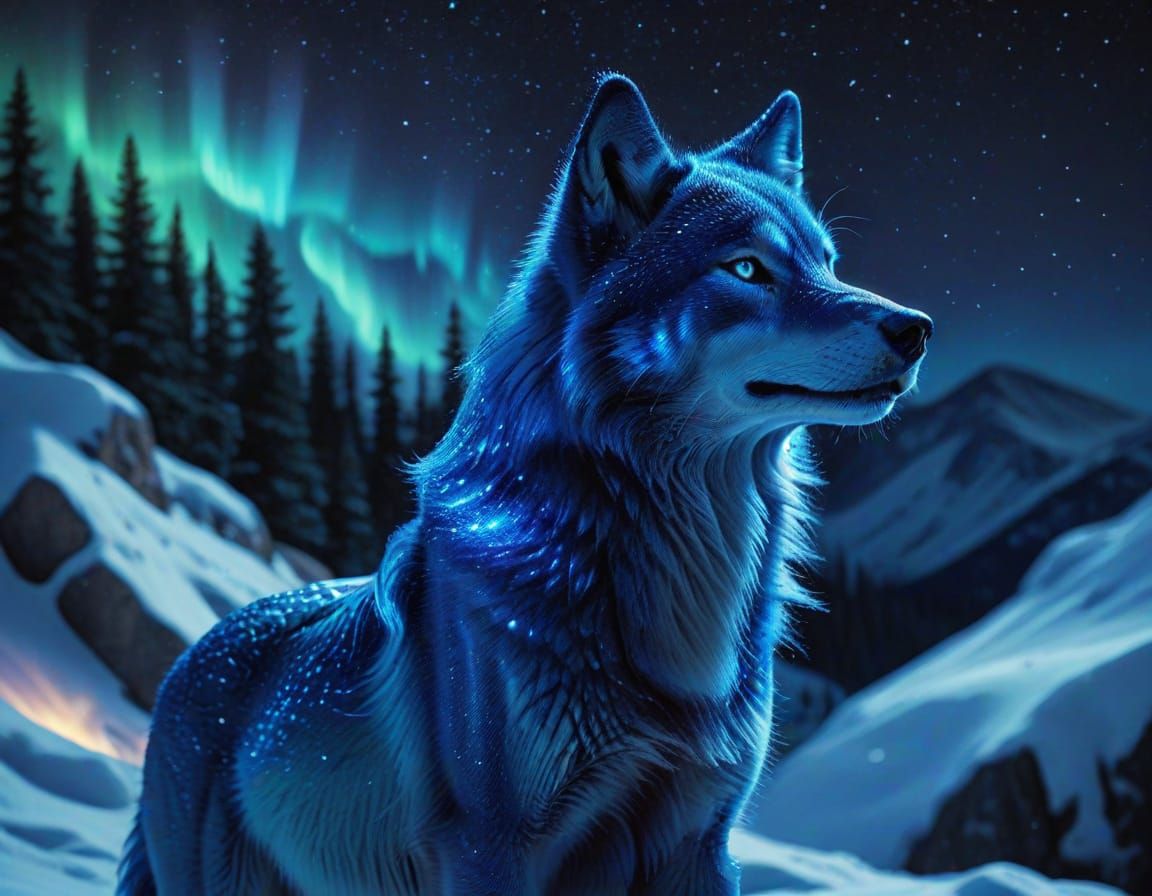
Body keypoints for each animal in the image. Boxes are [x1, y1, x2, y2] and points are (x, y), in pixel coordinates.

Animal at [120, 74, 931, 895]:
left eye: (827, 262)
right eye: (745, 269)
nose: (916, 328)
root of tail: (196, 649)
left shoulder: (700, 842)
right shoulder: (491, 846)